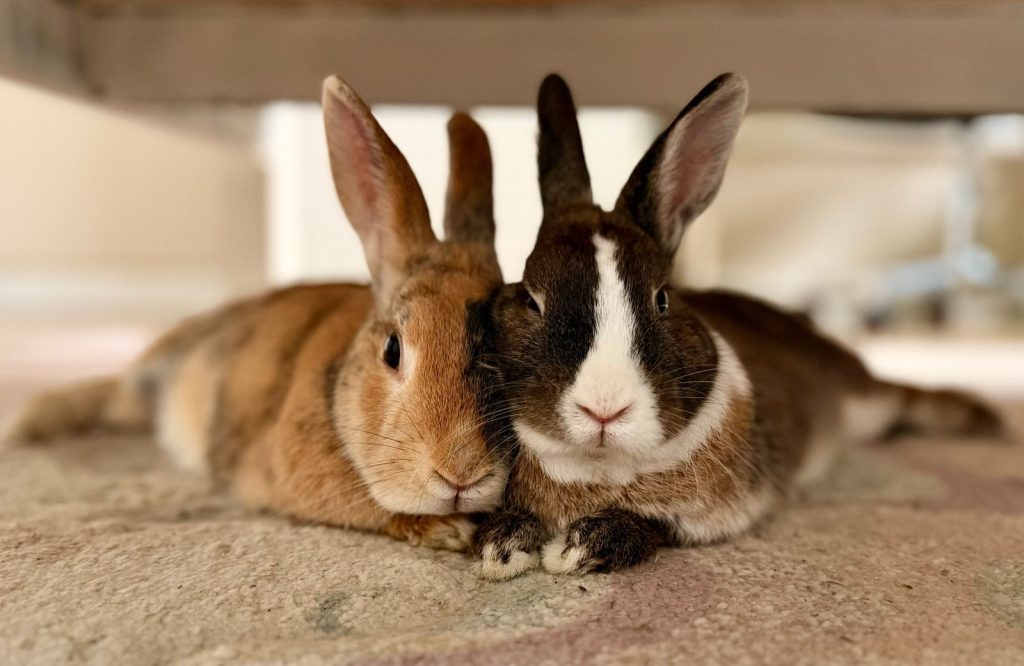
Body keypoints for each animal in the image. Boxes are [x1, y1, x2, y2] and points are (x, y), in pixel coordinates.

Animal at [471, 73, 1007, 579]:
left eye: (662, 299)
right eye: (531, 299)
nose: (605, 409)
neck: (599, 467)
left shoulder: (713, 513)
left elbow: (652, 526)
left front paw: (577, 549)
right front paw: (501, 548)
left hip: (866, 403)